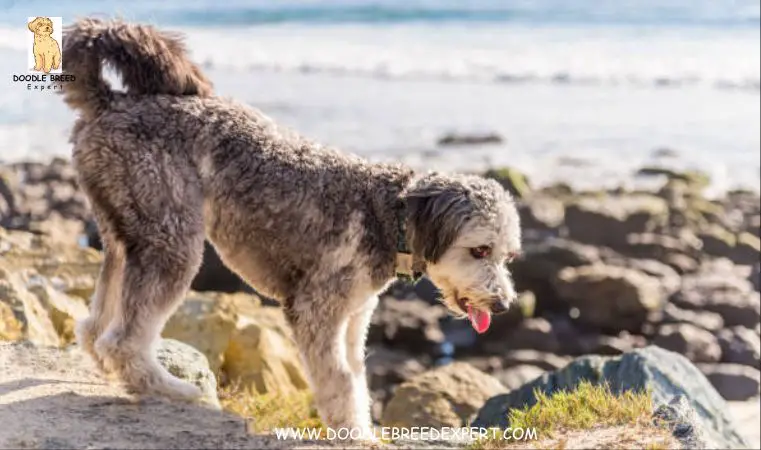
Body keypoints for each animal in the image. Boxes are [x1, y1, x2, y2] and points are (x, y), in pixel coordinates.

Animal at [62, 18, 520, 440]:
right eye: (480, 250)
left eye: (507, 256)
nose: (502, 306)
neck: (387, 214)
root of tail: (109, 102)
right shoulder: (316, 312)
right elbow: (340, 383)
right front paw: (352, 435)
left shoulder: (353, 319)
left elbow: (357, 378)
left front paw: (361, 429)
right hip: (170, 242)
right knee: (123, 341)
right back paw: (168, 388)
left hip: (126, 234)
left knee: (95, 326)